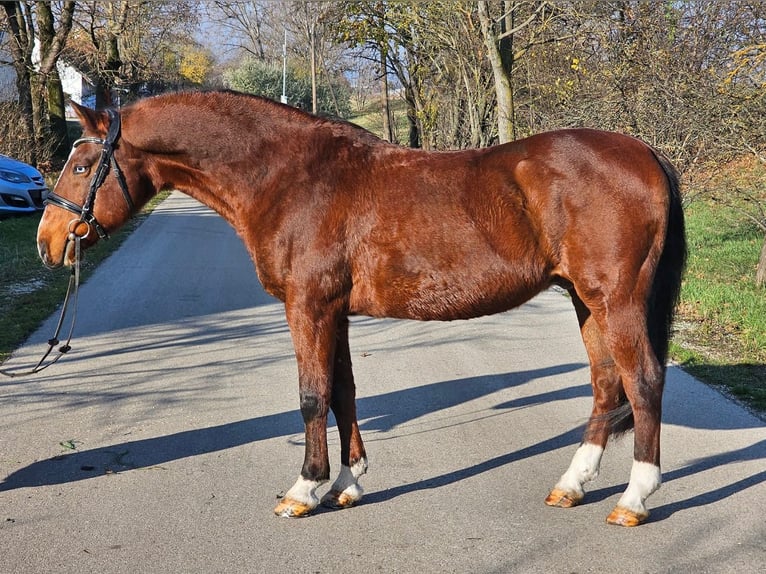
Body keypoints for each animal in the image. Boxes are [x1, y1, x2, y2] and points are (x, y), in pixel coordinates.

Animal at [37, 90, 686, 527]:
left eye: (80, 165)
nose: (48, 241)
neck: (289, 177)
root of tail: (645, 153)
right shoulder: (335, 311)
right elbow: (343, 391)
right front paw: (347, 484)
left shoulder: (308, 306)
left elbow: (311, 395)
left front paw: (304, 490)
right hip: (584, 300)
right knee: (606, 385)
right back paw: (572, 485)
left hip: (616, 299)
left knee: (644, 381)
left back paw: (633, 498)